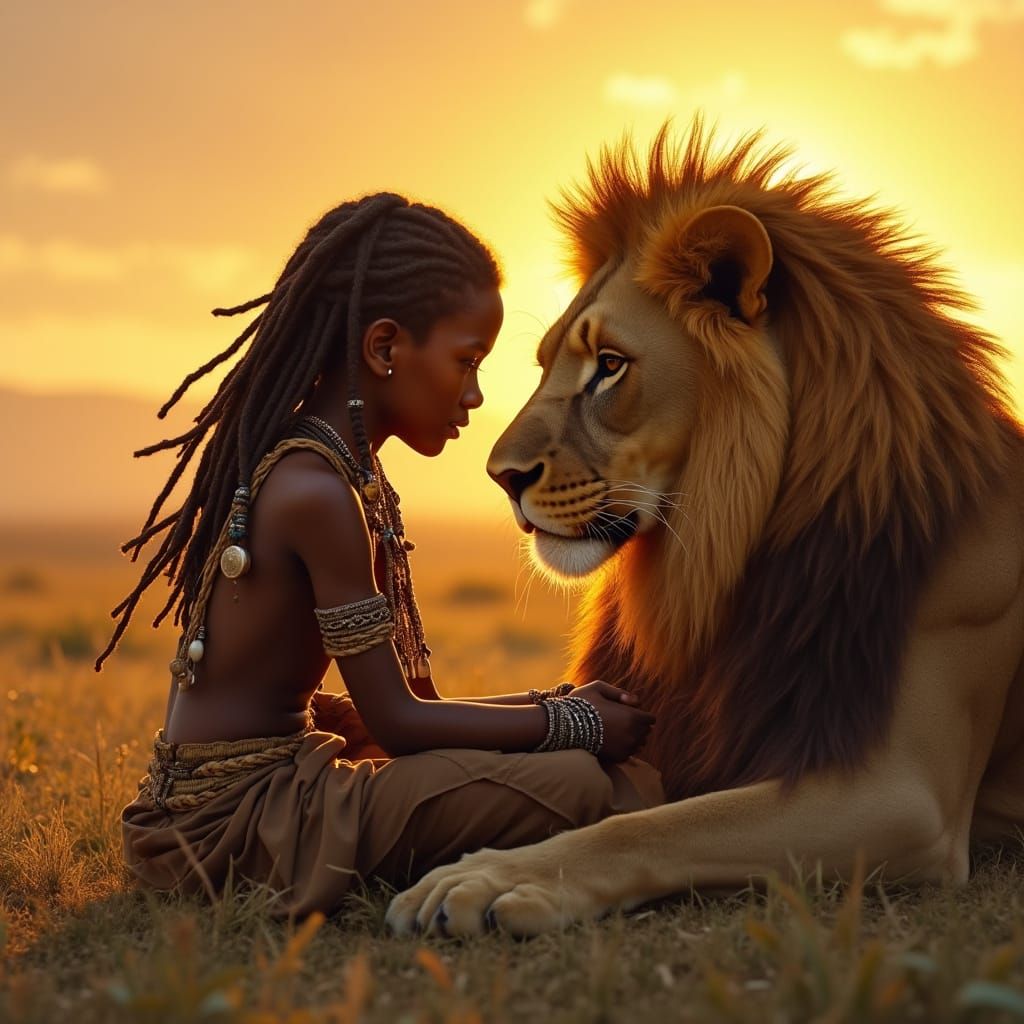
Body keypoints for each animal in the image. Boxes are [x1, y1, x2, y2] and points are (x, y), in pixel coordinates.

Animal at [387, 120, 1024, 937]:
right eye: (544, 363)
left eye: (610, 365)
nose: (502, 477)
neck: (721, 558)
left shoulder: (906, 794)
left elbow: (655, 825)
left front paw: (493, 877)